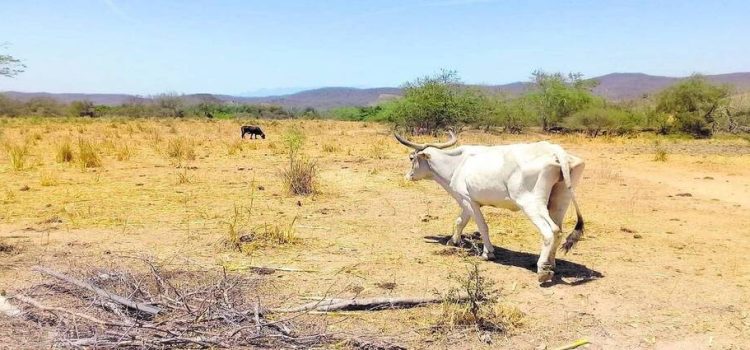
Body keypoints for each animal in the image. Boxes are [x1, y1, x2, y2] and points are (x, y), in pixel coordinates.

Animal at [396, 130, 584, 284]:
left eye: (411, 158)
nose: (408, 176)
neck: (457, 164)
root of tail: (554, 150)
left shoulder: (468, 200)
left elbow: (482, 226)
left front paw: (488, 252)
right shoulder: (466, 201)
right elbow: (460, 221)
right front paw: (453, 241)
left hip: (531, 204)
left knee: (551, 230)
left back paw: (543, 270)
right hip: (559, 203)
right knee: (559, 231)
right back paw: (550, 265)